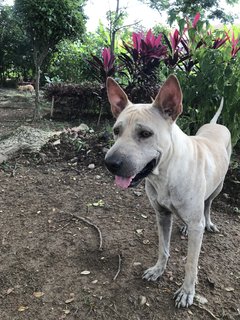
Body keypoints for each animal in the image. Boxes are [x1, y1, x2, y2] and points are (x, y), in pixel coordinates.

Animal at [104, 74, 232, 308]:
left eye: (145, 133)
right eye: (116, 131)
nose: (110, 163)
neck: (166, 173)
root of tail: (215, 124)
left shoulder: (194, 226)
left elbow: (191, 263)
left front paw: (187, 291)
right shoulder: (162, 215)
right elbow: (163, 248)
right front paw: (158, 270)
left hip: (218, 187)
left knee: (207, 205)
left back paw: (208, 222)